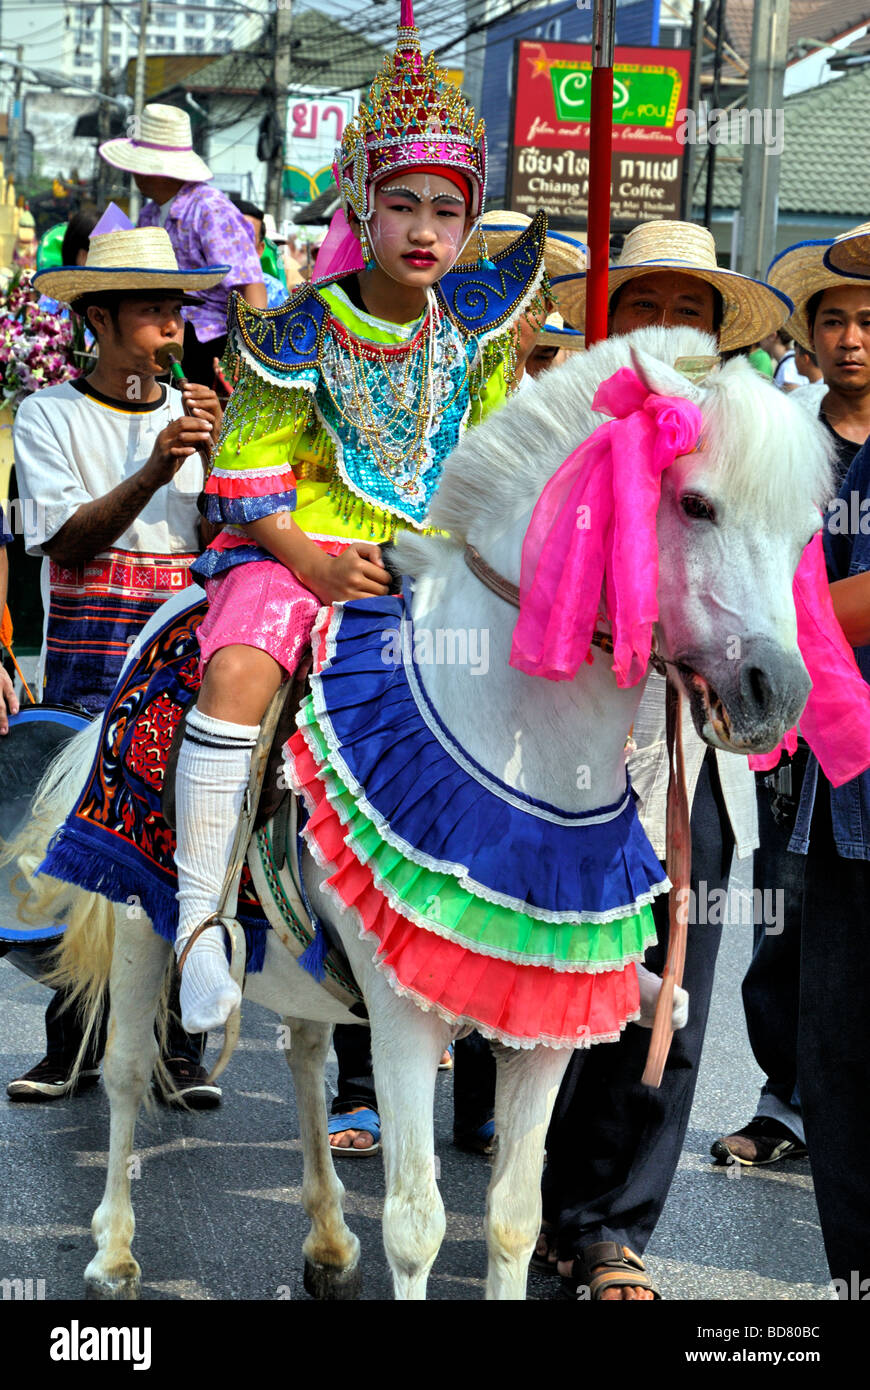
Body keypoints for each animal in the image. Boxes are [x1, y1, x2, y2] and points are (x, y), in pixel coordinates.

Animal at [10, 328, 828, 1301]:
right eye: (697, 505)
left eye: (809, 533)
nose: (776, 696)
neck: (514, 732)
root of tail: (168, 608)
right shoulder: (404, 1020)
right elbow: (416, 1226)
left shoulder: (543, 1020)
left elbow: (512, 1220)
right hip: (140, 910)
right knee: (130, 1069)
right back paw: (113, 1250)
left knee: (305, 1057)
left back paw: (328, 1242)